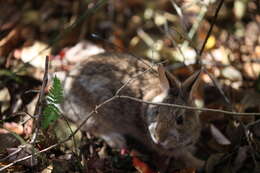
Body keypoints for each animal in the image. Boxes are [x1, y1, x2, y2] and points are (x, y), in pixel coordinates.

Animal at [61, 52, 203, 170]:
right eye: (157, 112)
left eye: (180, 120)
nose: (158, 138)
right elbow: (183, 156)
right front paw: (199, 163)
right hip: (92, 114)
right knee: (94, 128)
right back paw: (117, 140)